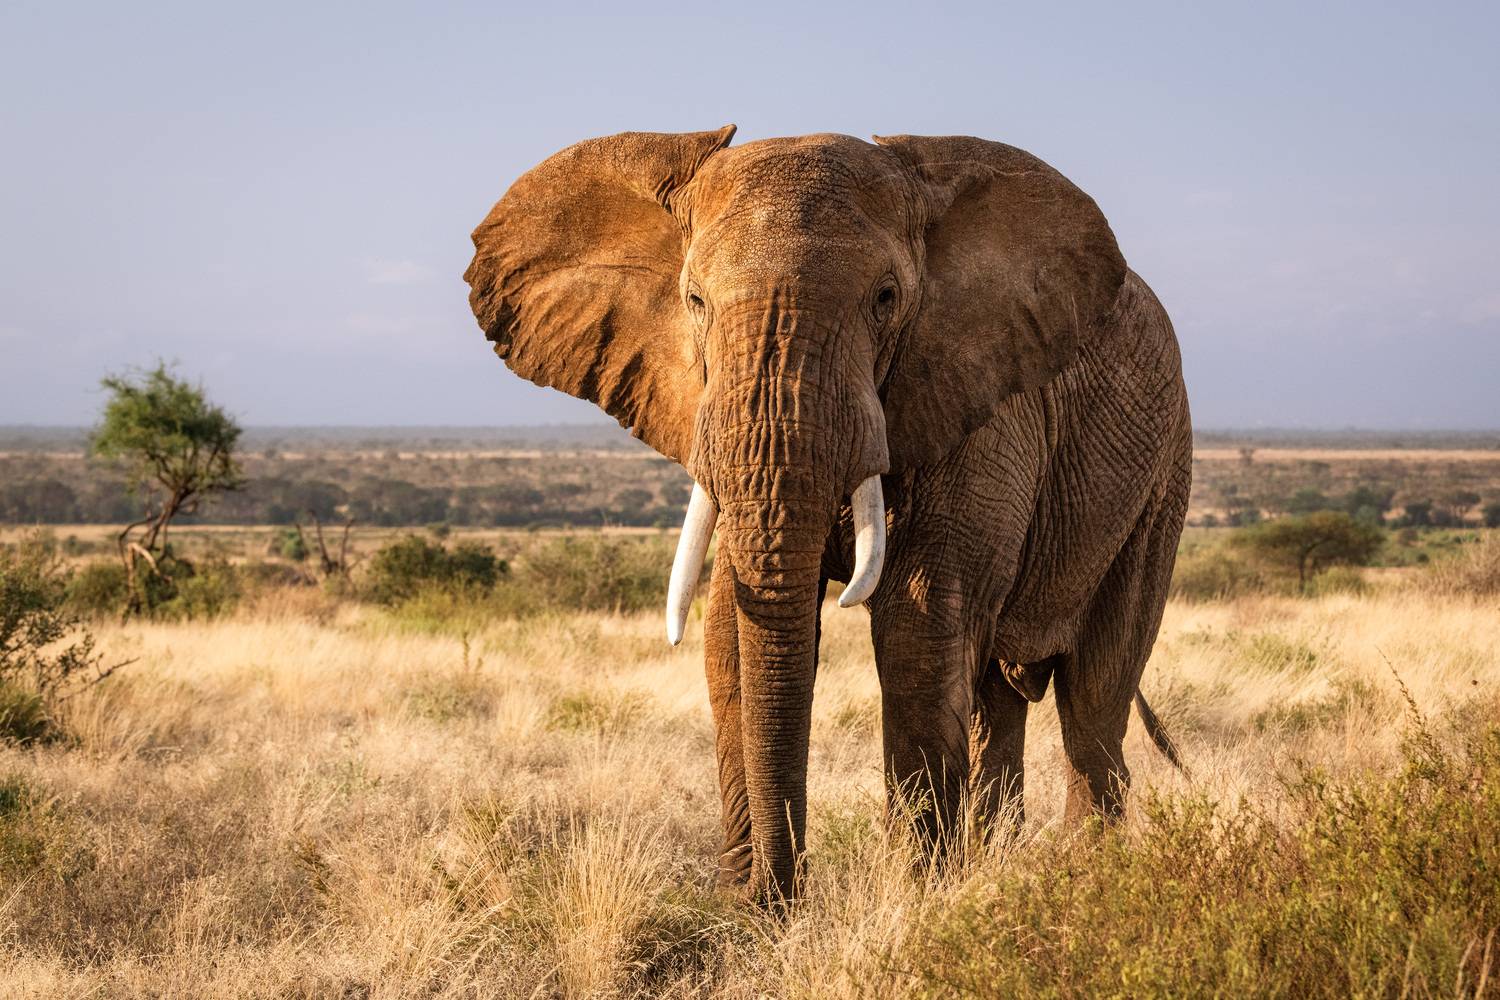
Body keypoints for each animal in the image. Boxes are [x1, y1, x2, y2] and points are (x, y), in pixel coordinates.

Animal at [464, 126, 1190, 902]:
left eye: (886, 298)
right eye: (694, 299)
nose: (781, 896)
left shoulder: (987, 397)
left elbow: (919, 621)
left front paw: (916, 901)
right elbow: (730, 631)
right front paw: (750, 912)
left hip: (1162, 475)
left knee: (1093, 696)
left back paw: (1087, 879)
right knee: (999, 701)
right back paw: (1002, 865)